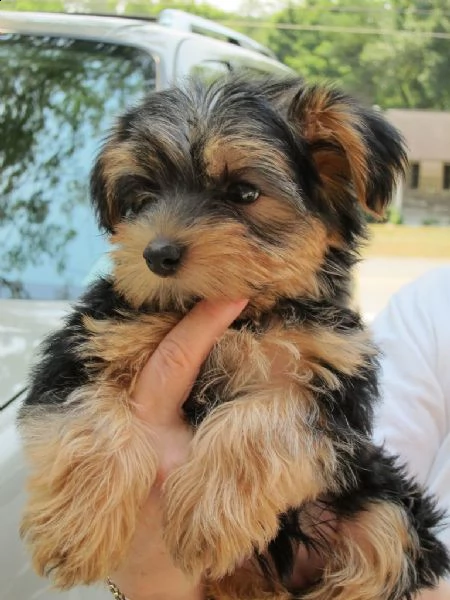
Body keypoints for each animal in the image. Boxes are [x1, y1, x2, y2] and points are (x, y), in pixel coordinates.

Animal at [19, 76, 448, 600]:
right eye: (144, 196)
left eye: (244, 192)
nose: (157, 255)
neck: (244, 318)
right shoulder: (93, 338)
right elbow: (88, 415)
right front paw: (76, 526)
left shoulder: (330, 377)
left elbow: (267, 414)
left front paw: (207, 512)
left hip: (381, 500)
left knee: (385, 540)